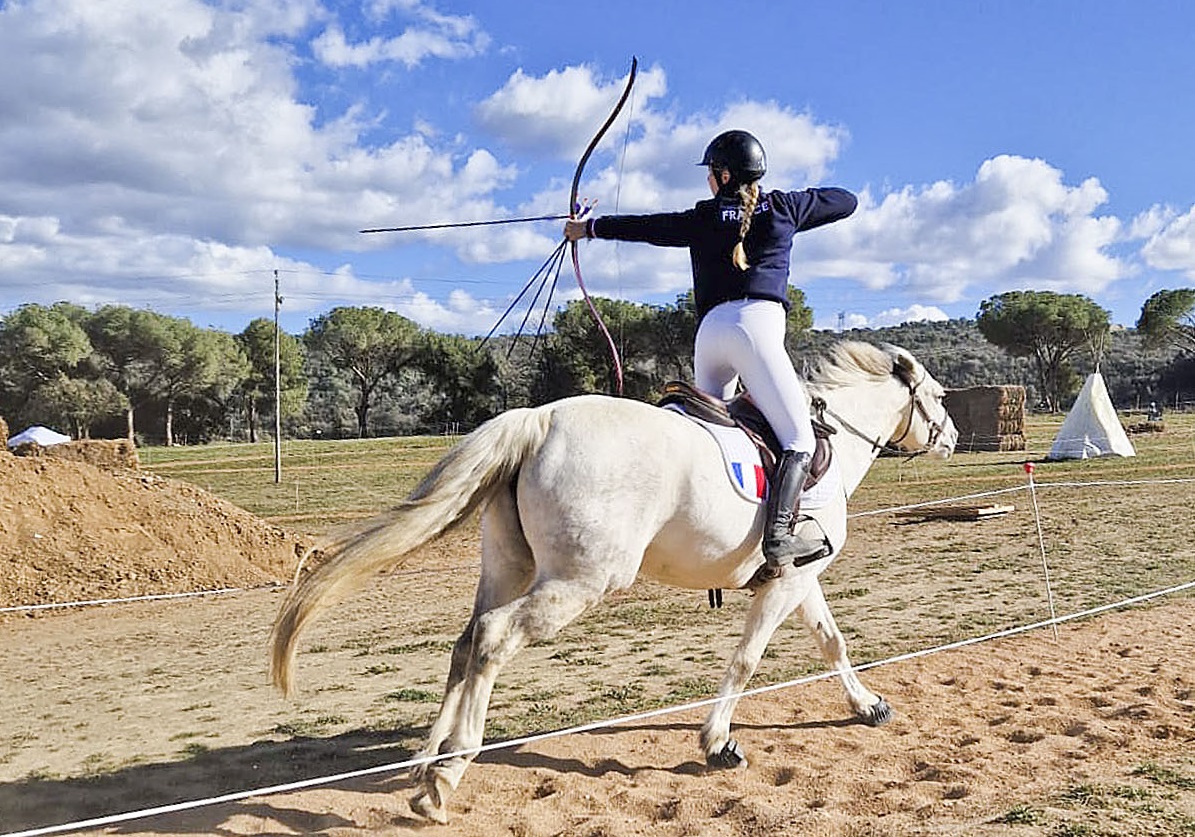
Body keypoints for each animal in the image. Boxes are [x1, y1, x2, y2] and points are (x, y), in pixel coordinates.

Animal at [273, 341, 960, 822]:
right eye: (941, 396)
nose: (952, 438)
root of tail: (540, 419)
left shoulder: (797, 576)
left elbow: (831, 642)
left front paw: (867, 706)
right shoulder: (786, 582)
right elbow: (747, 659)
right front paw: (717, 743)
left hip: (507, 568)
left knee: (466, 642)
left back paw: (426, 759)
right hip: (581, 581)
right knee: (493, 638)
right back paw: (446, 777)